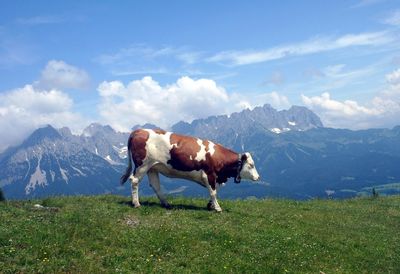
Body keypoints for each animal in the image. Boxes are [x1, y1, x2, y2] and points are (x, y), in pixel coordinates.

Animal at [120, 128, 260, 212]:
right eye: (251, 165)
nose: (258, 177)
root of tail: (139, 130)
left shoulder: (216, 178)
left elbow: (215, 191)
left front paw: (210, 205)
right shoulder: (209, 174)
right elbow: (213, 192)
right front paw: (217, 208)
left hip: (152, 167)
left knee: (156, 185)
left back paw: (166, 204)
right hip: (142, 165)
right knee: (134, 181)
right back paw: (136, 203)